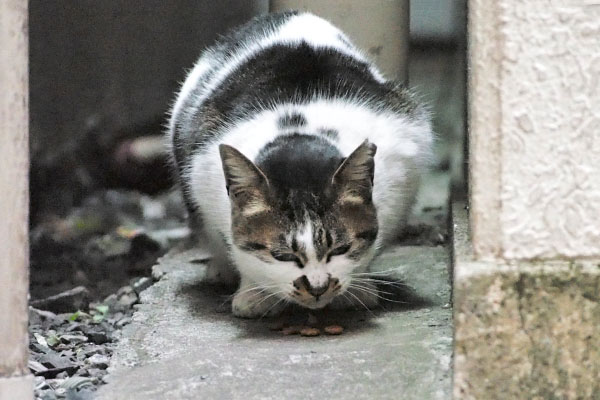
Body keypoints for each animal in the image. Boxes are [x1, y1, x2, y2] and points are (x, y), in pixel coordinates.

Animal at [166, 10, 434, 318]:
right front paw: (253, 295)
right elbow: (237, 248)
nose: (317, 287)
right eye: (282, 256)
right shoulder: (202, 175)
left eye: (341, 249)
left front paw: (358, 291)